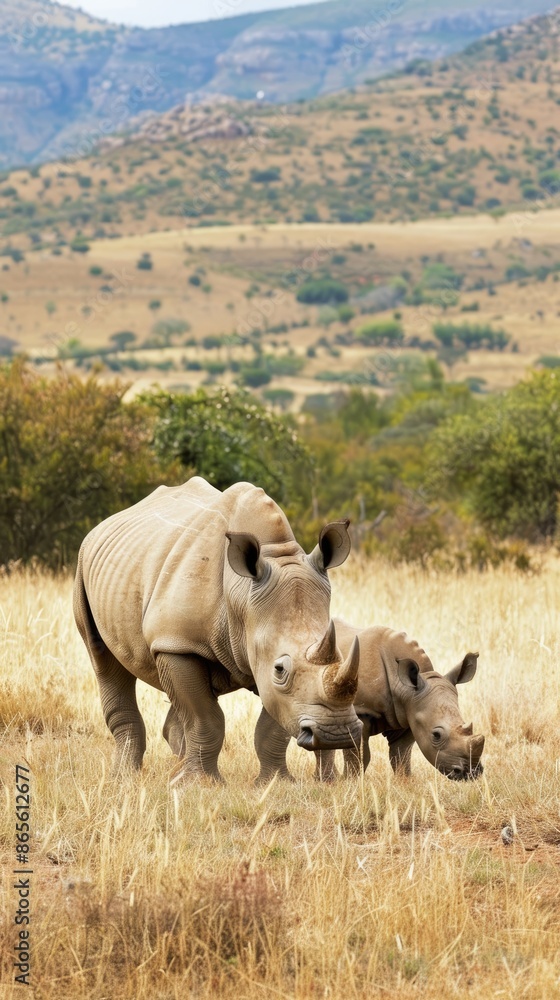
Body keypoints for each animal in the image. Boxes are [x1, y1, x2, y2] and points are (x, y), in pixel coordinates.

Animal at [73, 477, 363, 781]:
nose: (335, 734)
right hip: (84, 567)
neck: (242, 594)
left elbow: (272, 724)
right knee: (104, 661)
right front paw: (199, 784)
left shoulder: (255, 656)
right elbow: (205, 718)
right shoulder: (178, 643)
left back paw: (176, 769)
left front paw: (275, 782)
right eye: (280, 669)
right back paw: (125, 777)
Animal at [253, 620, 485, 783]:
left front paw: (405, 782)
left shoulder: (408, 713)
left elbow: (401, 754)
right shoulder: (361, 711)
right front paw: (352, 783)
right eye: (436, 735)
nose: (469, 773)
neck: (406, 689)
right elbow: (359, 754)